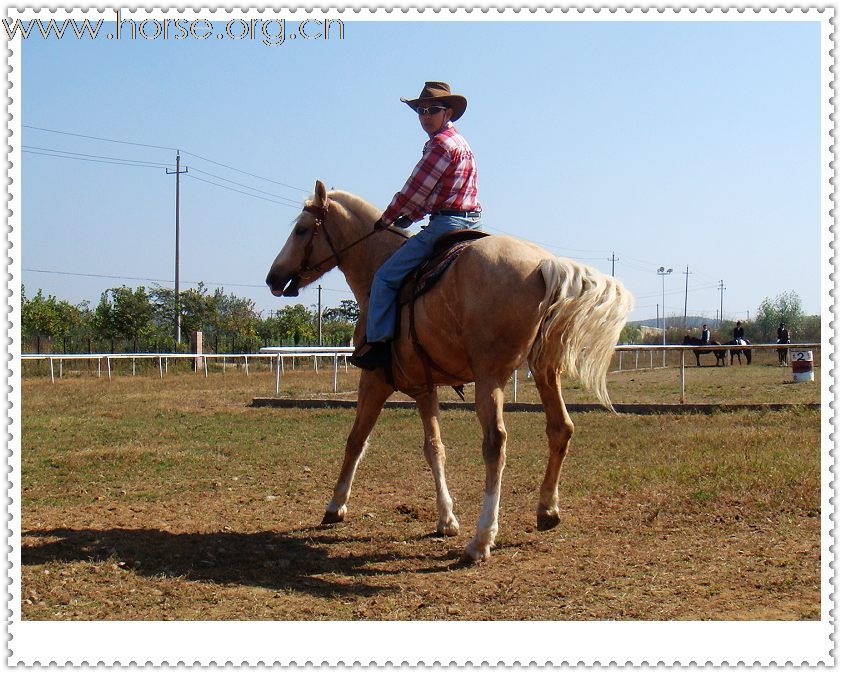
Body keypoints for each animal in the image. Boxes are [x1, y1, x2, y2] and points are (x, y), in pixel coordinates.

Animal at [262, 180, 632, 560]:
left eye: (301, 229)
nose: (273, 277)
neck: (377, 266)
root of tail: (545, 263)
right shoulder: (424, 387)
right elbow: (434, 448)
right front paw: (446, 519)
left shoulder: (375, 380)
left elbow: (356, 441)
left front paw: (335, 506)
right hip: (544, 370)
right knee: (560, 428)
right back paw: (547, 510)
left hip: (490, 377)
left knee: (495, 443)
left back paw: (481, 539)